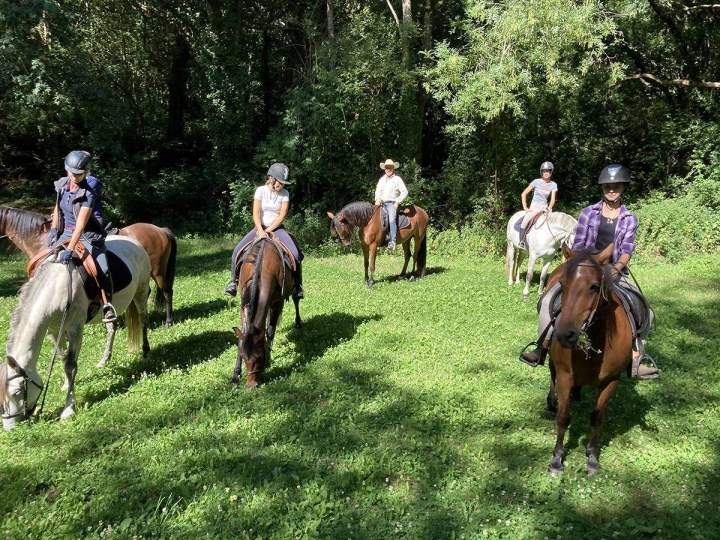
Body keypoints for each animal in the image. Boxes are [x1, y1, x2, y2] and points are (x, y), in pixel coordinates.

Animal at [0, 236, 151, 431]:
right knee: (112, 327)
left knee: (143, 318)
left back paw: (146, 350)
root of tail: (133, 240)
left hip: (141, 291)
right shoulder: (54, 330)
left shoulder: (75, 328)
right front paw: (66, 385)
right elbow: (62, 357)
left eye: (18, 391)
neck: (56, 287)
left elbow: (70, 365)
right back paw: (104, 360)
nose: (9, 428)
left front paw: (68, 408)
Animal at [231, 237, 301, 389]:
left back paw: (298, 322)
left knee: (296, 299)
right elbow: (241, 338)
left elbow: (270, 331)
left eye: (260, 358)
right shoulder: (244, 305)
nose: (251, 386)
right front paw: (235, 375)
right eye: (244, 357)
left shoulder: (277, 302)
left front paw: (269, 359)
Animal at [545, 243, 634, 475]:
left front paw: (592, 457)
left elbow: (597, 417)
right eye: (563, 284)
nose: (564, 334)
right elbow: (563, 416)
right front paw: (556, 460)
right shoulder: (565, 376)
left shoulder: (611, 381)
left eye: (594, 286)